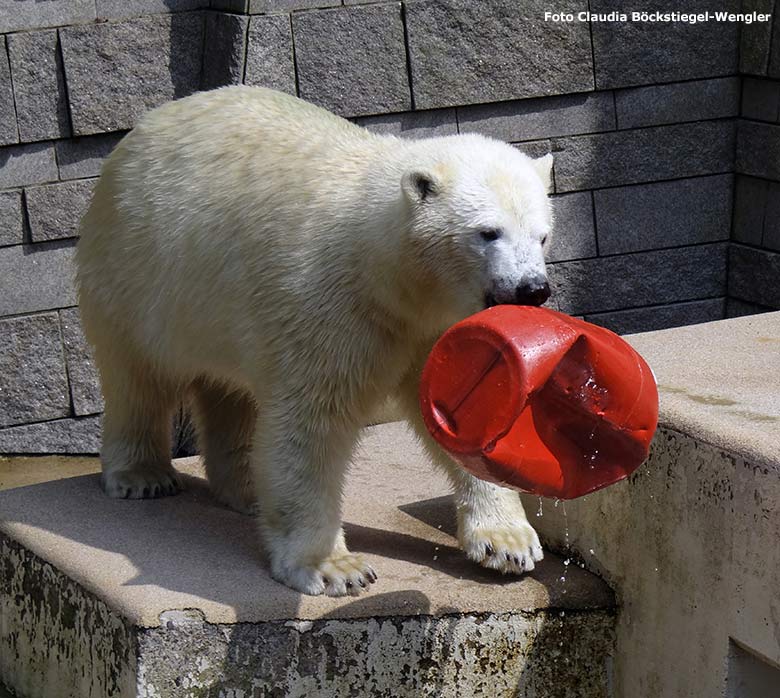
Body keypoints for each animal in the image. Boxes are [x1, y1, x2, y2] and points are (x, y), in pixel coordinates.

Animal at [76, 85, 556, 592]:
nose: (532, 288)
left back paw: (246, 490)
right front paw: (332, 567)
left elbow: (466, 409)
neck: (387, 276)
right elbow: (311, 424)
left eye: (542, 236)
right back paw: (143, 475)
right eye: (488, 232)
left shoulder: (435, 328)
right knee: (138, 376)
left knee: (230, 391)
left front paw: (507, 543)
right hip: (138, 276)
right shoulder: (326, 306)